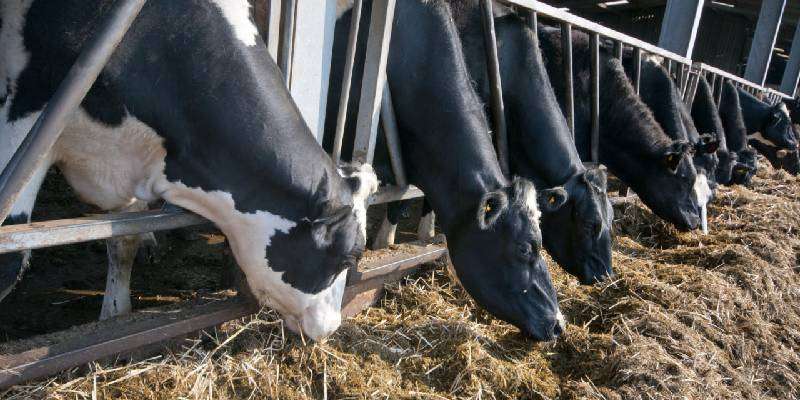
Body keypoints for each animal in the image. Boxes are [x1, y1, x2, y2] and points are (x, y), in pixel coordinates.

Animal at [0, 0, 382, 341]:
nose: (333, 326)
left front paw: (114, 316)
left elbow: (123, 240)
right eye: (350, 257)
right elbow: (11, 258)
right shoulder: (28, 112)